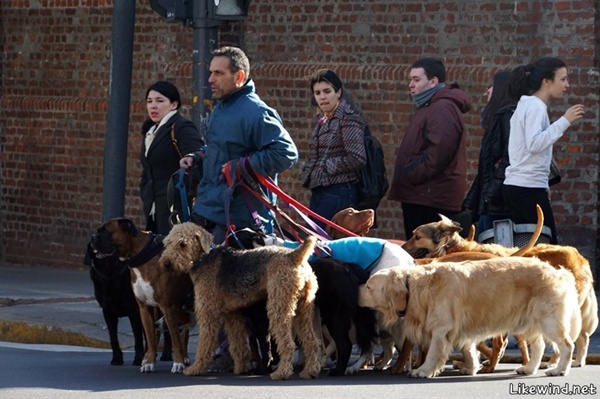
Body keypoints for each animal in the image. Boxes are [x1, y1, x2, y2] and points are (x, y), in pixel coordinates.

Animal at [90, 217, 192, 374]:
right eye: (98, 231)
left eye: (105, 232)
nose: (92, 238)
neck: (141, 256)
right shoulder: (144, 309)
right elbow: (149, 337)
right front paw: (148, 362)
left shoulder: (168, 307)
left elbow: (174, 337)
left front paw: (178, 363)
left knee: (182, 333)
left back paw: (185, 358)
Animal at [157, 222, 322, 382]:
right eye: (168, 243)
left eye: (183, 244)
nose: (166, 263)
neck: (204, 259)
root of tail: (295, 256)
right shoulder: (232, 313)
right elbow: (237, 343)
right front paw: (241, 368)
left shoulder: (207, 313)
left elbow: (205, 343)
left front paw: (195, 368)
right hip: (303, 308)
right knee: (312, 341)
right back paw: (310, 371)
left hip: (278, 307)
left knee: (288, 344)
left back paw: (281, 373)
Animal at [358, 258, 580, 380]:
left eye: (368, 286)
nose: (356, 290)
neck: (414, 286)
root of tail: (560, 272)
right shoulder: (460, 329)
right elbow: (468, 349)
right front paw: (471, 367)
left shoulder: (441, 329)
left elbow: (434, 352)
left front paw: (423, 370)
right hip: (528, 321)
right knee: (539, 345)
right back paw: (529, 368)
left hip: (549, 320)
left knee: (567, 345)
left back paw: (559, 370)